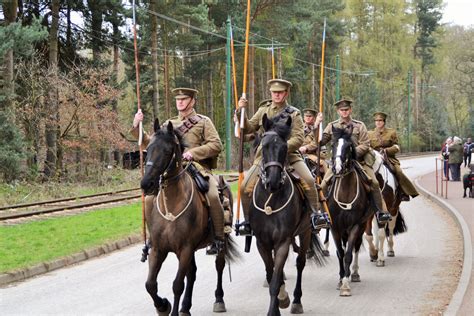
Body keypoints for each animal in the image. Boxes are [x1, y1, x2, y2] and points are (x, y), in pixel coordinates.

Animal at [139, 119, 239, 316]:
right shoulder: (158, 249)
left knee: (219, 265)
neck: (172, 205)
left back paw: (219, 299)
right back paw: (186, 307)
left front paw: (172, 309)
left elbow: (177, 284)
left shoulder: (184, 249)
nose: (146, 184)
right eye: (148, 149)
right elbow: (150, 285)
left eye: (167, 151)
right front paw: (163, 306)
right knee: (192, 274)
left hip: (218, 242)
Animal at [248, 114, 326, 316]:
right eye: (264, 146)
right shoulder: (262, 242)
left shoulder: (283, 241)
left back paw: (297, 301)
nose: (273, 181)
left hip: (306, 232)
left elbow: (275, 280)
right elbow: (271, 274)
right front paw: (280, 300)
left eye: (284, 147)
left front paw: (278, 305)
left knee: (300, 263)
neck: (271, 199)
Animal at [326, 125, 374, 296]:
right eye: (333, 144)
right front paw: (341, 279)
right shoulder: (335, 226)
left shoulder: (355, 225)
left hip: (362, 225)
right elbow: (340, 252)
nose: (337, 168)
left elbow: (348, 254)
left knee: (356, 247)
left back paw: (354, 273)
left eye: (348, 146)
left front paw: (346, 284)